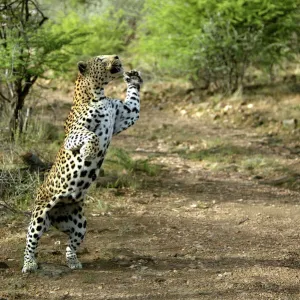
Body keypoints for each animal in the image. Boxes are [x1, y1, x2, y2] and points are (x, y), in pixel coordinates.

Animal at [21, 55, 143, 274]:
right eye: (101, 59)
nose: (117, 57)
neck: (99, 94)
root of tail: (55, 218)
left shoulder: (126, 116)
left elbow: (133, 102)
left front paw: (133, 77)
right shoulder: (73, 134)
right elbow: (91, 135)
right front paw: (87, 153)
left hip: (79, 223)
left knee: (70, 245)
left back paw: (73, 262)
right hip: (39, 216)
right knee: (30, 241)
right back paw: (29, 264)